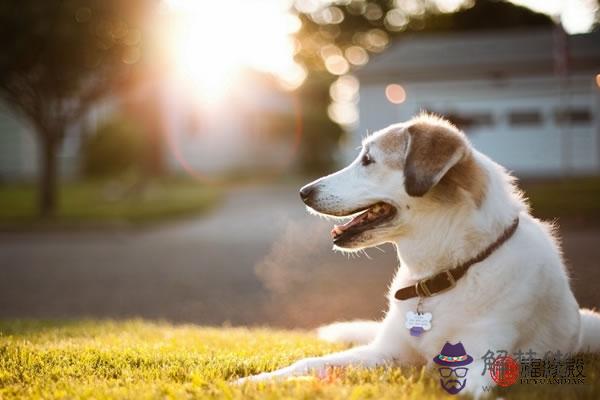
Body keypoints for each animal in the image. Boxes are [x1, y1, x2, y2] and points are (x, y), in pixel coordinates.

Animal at [236, 113, 600, 396]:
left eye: (368, 160)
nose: (303, 192)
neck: (445, 275)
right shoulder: (386, 351)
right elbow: (311, 363)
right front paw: (258, 381)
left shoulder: (478, 360)